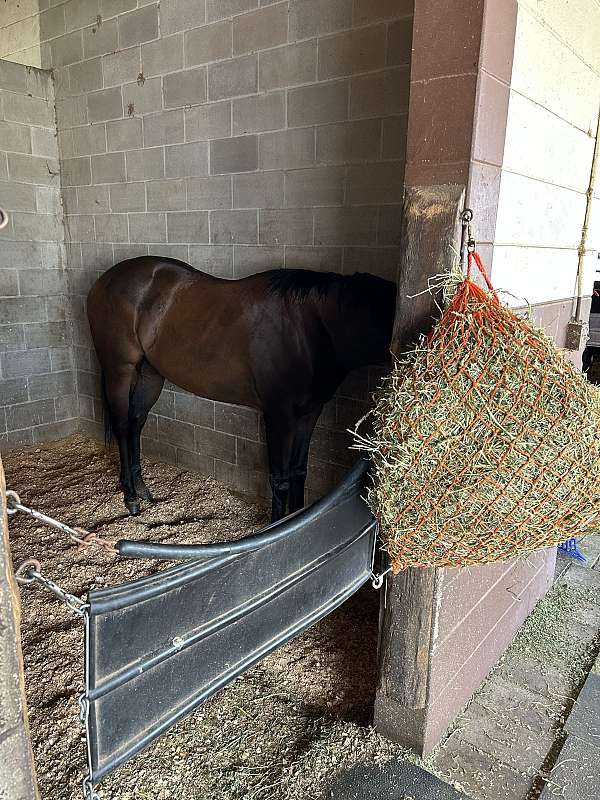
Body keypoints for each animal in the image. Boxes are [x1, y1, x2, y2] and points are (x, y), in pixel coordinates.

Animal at [86, 256, 397, 521]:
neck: (310, 329)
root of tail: (103, 281)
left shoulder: (310, 413)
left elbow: (298, 471)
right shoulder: (279, 416)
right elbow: (280, 479)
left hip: (151, 374)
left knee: (136, 423)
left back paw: (143, 490)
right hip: (120, 370)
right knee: (122, 426)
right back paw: (130, 497)